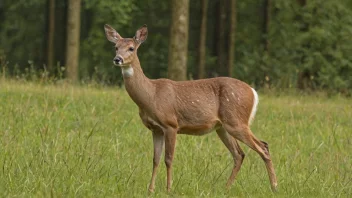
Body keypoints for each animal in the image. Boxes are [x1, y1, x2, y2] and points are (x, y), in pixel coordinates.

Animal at [104, 24, 278, 193]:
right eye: (116, 47)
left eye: (131, 48)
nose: (117, 59)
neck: (151, 95)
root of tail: (253, 92)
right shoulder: (156, 129)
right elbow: (155, 159)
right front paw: (150, 190)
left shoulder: (171, 124)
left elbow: (168, 159)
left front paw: (168, 189)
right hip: (223, 127)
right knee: (239, 154)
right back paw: (226, 188)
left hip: (237, 121)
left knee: (263, 147)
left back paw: (274, 187)